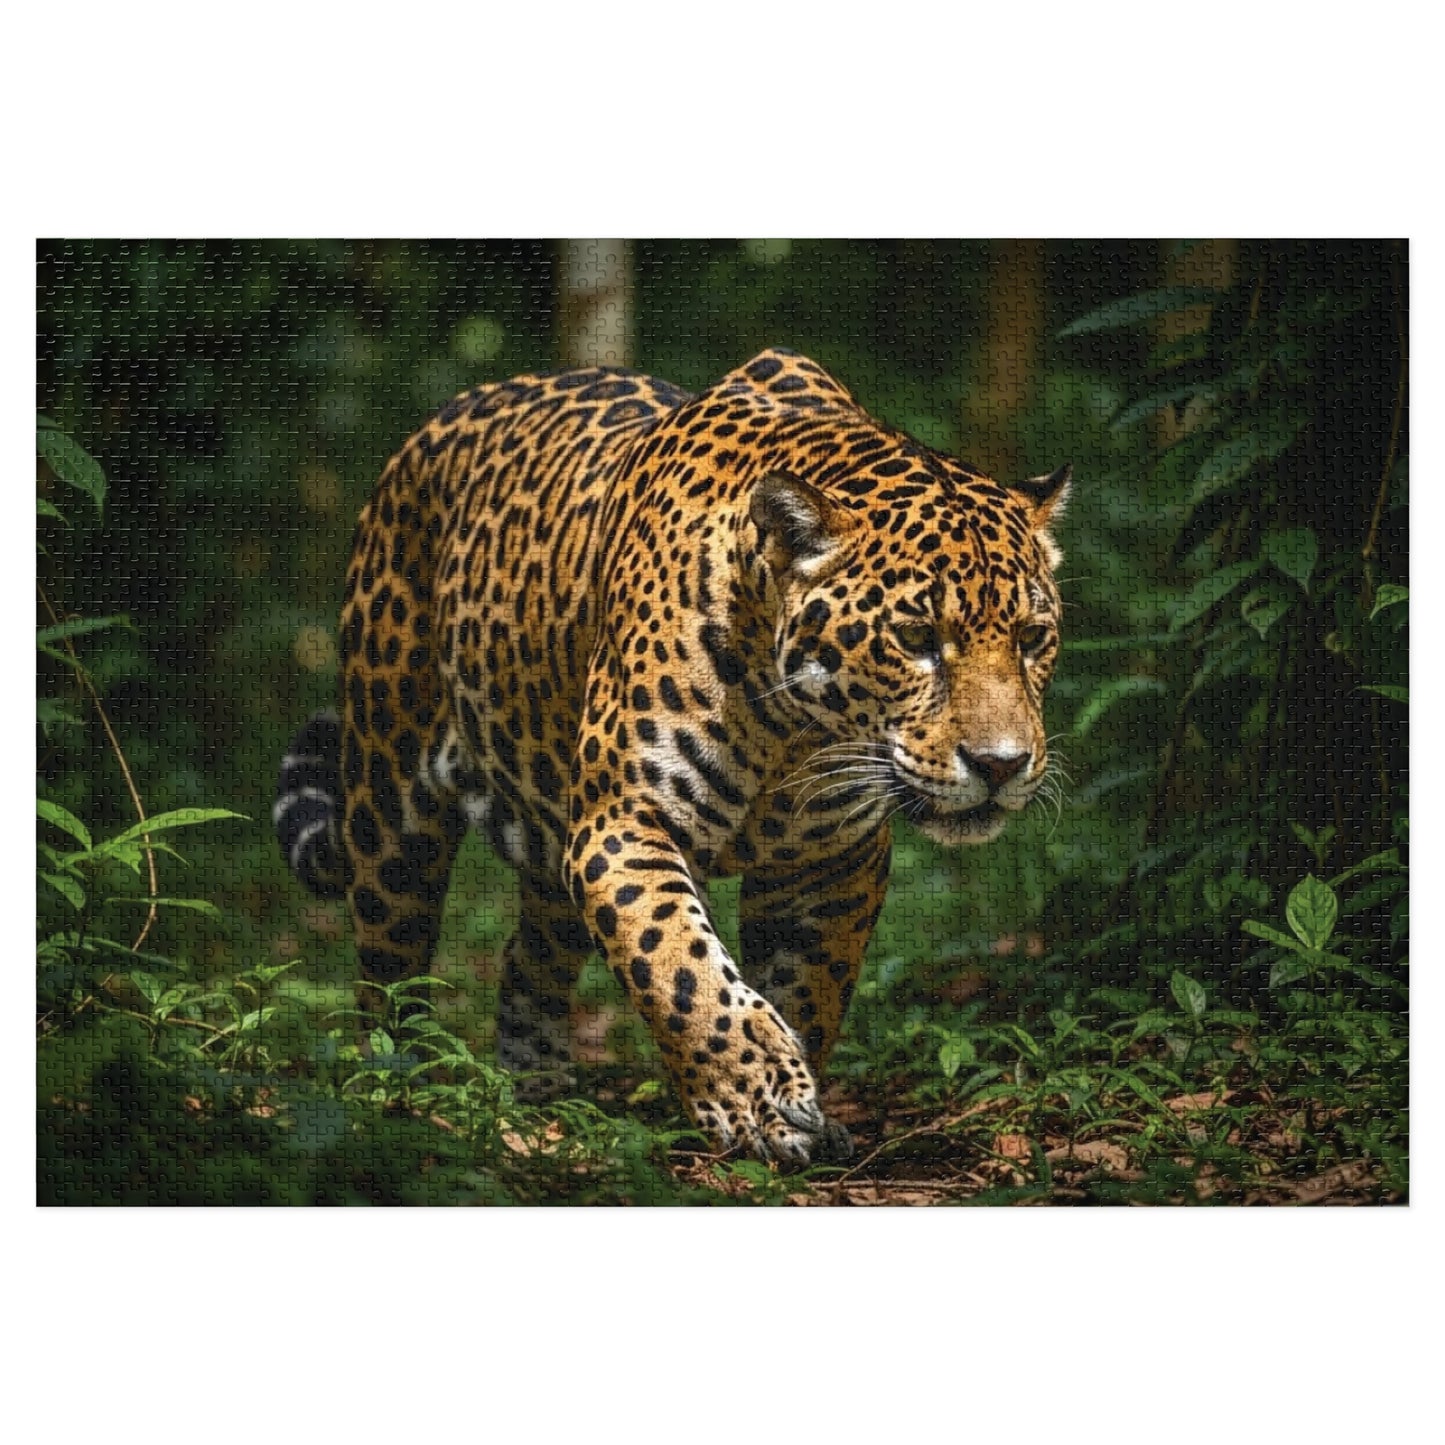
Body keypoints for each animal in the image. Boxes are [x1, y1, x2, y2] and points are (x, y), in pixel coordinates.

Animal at [275, 347, 1070, 1165]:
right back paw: (396, 1086)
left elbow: (808, 986)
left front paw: (800, 1106)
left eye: (1033, 638)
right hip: (390, 804)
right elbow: (679, 963)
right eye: (915, 640)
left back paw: (538, 1088)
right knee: (386, 971)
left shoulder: (833, 859)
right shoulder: (622, 823)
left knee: (528, 956)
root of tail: (443, 417)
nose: (1001, 764)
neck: (791, 727)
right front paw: (755, 1099)